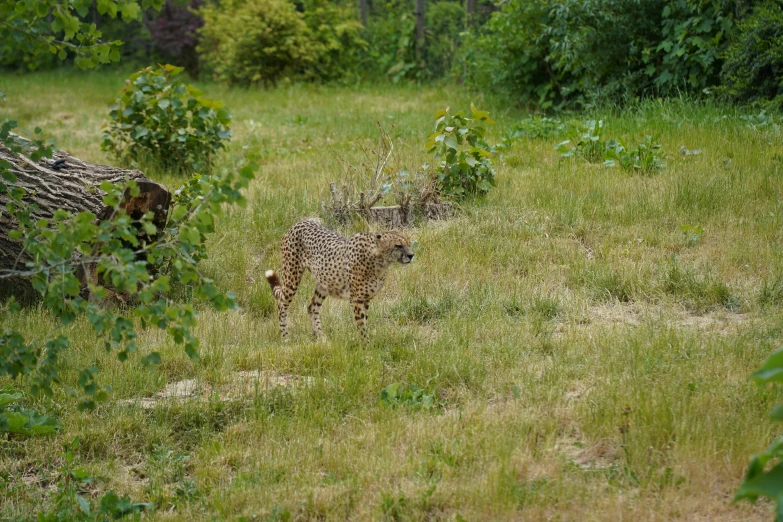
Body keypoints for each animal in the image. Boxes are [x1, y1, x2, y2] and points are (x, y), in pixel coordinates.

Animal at [264, 218, 414, 338]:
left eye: (408, 243)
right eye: (398, 246)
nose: (411, 255)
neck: (379, 261)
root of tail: (300, 222)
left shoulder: (365, 298)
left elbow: (365, 322)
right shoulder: (357, 299)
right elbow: (361, 326)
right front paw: (366, 347)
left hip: (323, 284)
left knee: (312, 307)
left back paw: (322, 338)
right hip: (291, 277)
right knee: (281, 305)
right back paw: (285, 337)